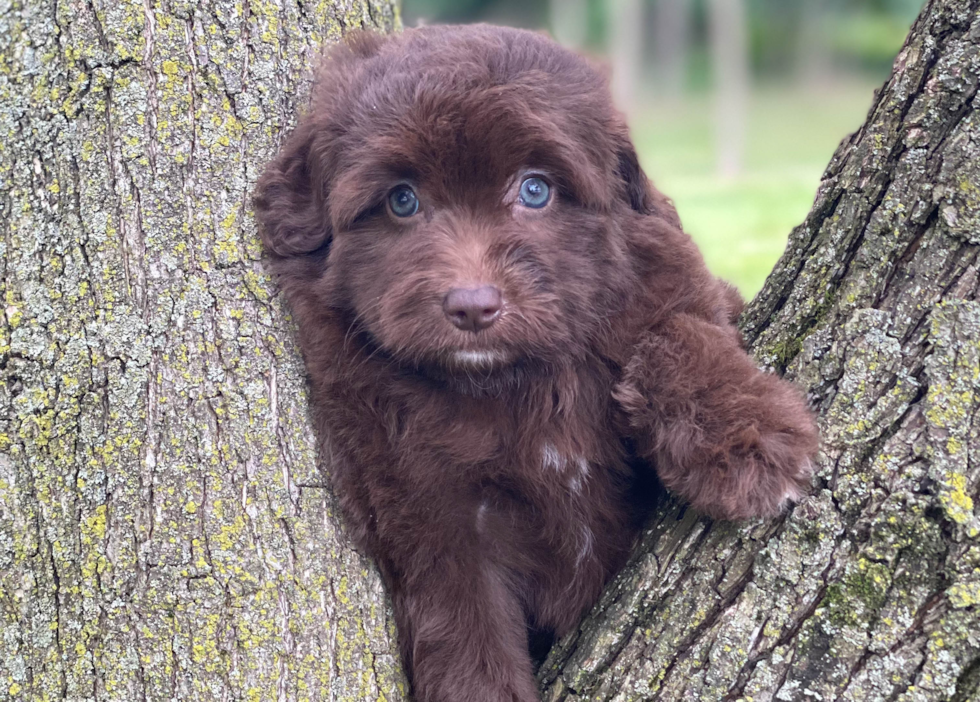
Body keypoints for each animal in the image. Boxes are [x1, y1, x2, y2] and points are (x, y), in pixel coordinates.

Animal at [255, 26, 820, 702]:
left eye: (534, 190)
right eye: (402, 200)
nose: (473, 305)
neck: (516, 379)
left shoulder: (668, 285)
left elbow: (677, 328)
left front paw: (749, 436)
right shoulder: (426, 514)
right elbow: (467, 640)